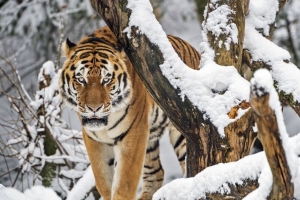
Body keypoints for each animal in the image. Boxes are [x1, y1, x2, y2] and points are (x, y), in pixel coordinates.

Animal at [59, 26, 200, 200]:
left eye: (106, 79)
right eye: (80, 79)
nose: (94, 108)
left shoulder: (133, 132)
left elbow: (124, 183)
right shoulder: (93, 139)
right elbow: (103, 180)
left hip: (182, 132)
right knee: (156, 172)